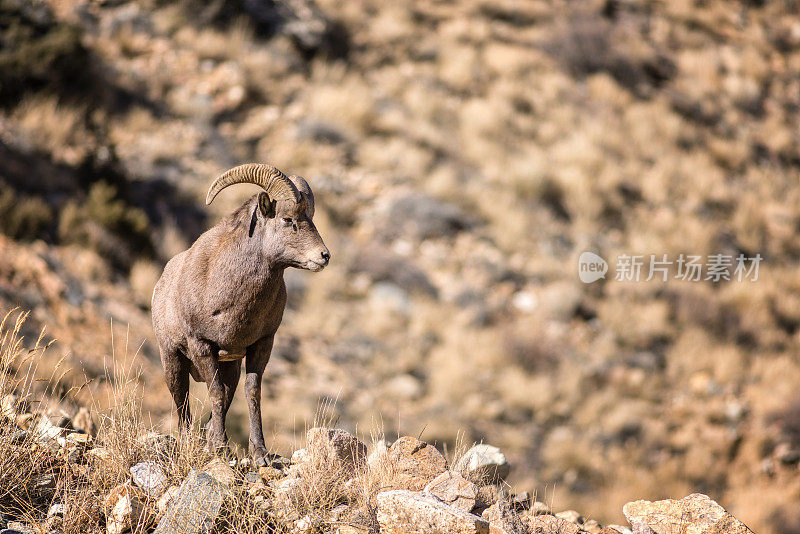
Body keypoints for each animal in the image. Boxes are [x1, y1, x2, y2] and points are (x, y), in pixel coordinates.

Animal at [152, 164, 330, 464]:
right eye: (287, 219)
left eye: (311, 218)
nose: (324, 256)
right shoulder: (202, 346)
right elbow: (215, 393)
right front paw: (221, 449)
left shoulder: (260, 345)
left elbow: (251, 393)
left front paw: (260, 453)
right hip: (172, 361)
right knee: (182, 402)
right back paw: (191, 443)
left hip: (230, 367)